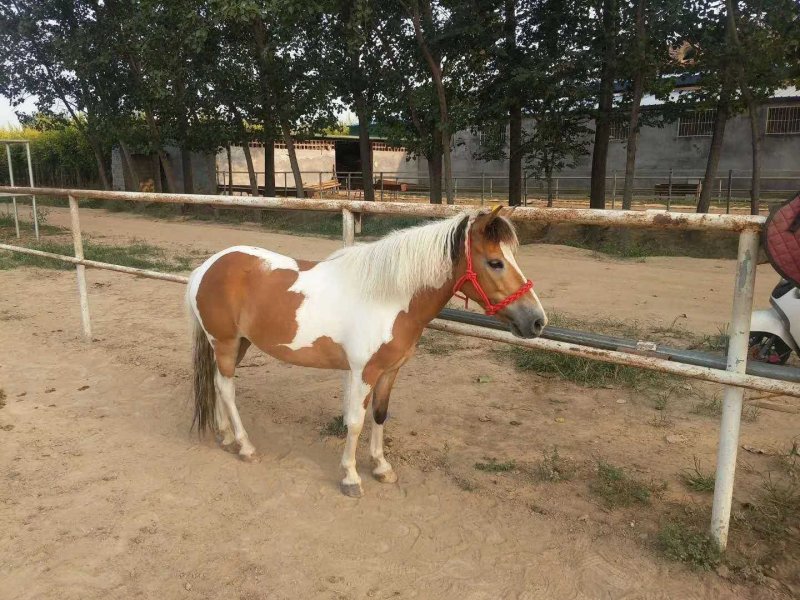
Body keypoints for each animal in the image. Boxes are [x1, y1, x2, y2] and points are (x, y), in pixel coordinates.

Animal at [186, 206, 547, 497]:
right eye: (495, 262)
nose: (537, 321)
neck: (388, 298)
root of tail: (207, 267)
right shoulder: (363, 372)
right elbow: (356, 422)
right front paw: (350, 478)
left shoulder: (390, 370)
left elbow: (379, 415)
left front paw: (381, 467)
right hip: (225, 342)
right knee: (228, 389)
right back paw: (245, 446)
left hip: (237, 344)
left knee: (217, 383)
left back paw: (225, 436)